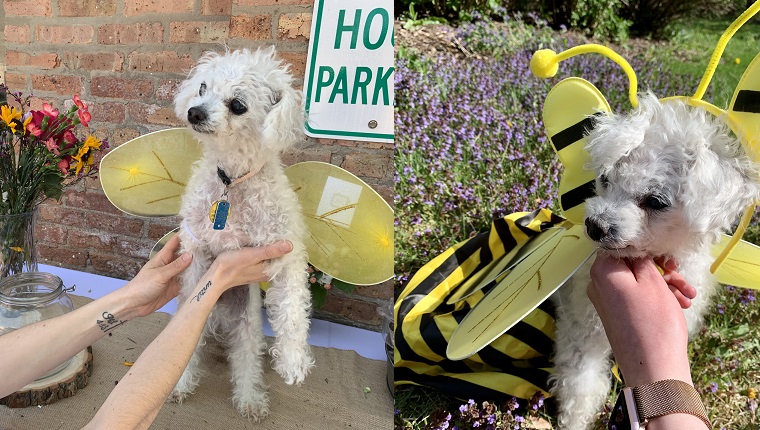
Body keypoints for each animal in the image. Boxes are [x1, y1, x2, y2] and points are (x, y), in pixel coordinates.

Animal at [168, 47, 314, 420]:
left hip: (248, 324)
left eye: (237, 105)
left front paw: (293, 361)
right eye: (202, 87)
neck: (231, 182)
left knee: (247, 358)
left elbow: (293, 312)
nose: (195, 111)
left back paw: (249, 399)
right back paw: (180, 385)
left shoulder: (286, 252)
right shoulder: (196, 249)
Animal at [552, 93, 760, 426]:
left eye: (655, 201)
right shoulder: (583, 334)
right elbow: (580, 384)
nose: (595, 226)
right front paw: (572, 423)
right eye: (605, 179)